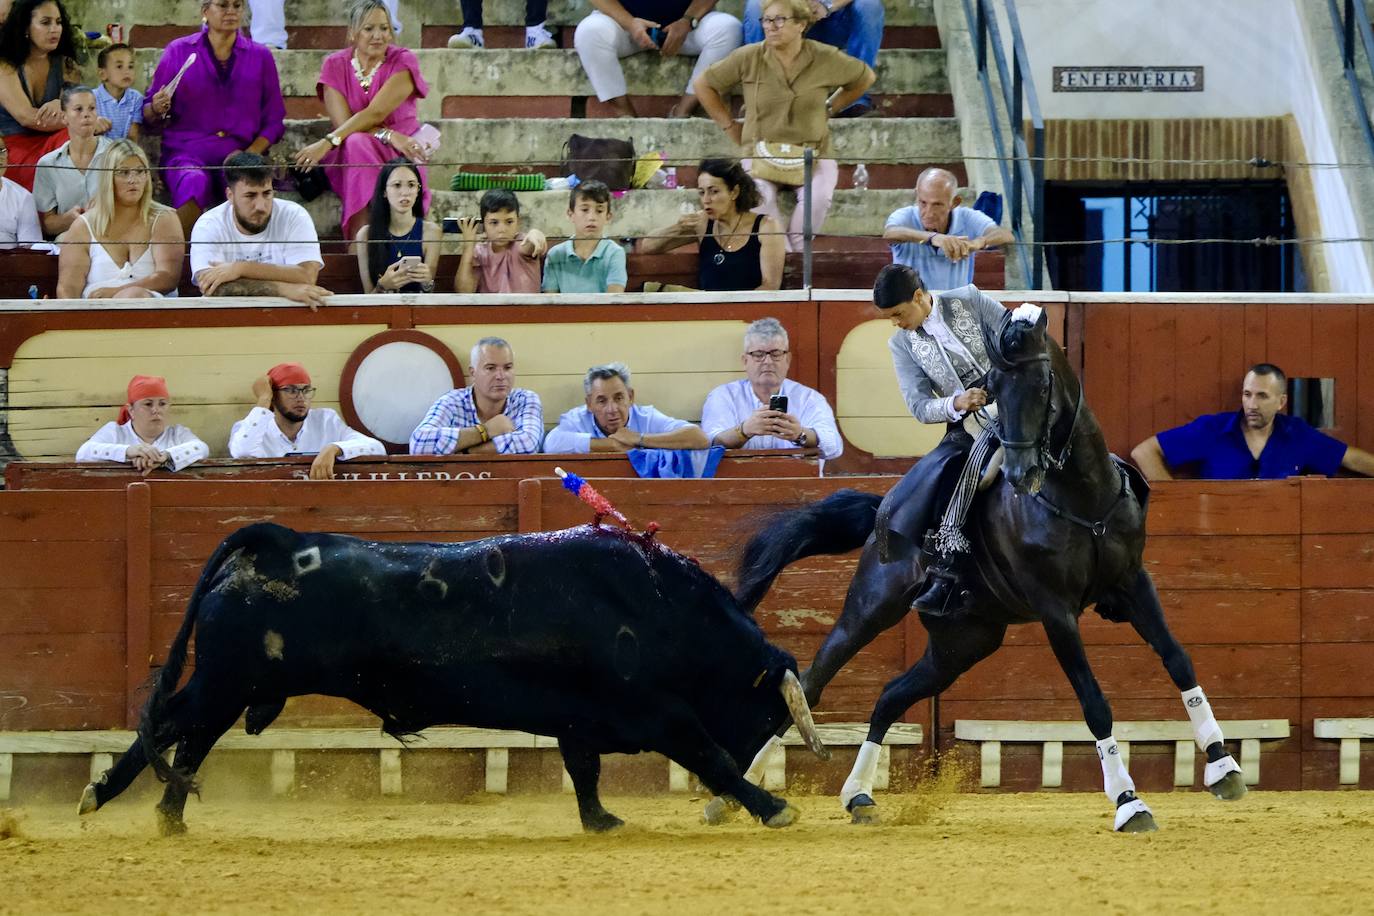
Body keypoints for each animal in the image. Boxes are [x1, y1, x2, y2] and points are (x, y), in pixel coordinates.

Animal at [83, 519, 824, 834]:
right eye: (768, 716)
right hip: (227, 680)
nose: (719, 809)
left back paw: (162, 813)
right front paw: (773, 807)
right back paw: (112, 798)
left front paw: (602, 821)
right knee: (175, 726)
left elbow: (583, 773)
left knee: (186, 734)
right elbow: (710, 755)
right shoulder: (661, 715)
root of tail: (276, 542)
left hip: (234, 685)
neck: (659, 607)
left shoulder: (578, 720)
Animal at [725, 307, 1253, 829]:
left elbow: (1178, 658)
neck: (1081, 497)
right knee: (812, 683)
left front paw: (1223, 765)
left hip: (963, 642)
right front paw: (1128, 801)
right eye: (994, 388)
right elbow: (1094, 701)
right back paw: (741, 794)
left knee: (891, 695)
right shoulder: (1055, 611)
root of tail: (882, 510)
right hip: (872, 607)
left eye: (1041, 385)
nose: (1021, 473)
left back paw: (858, 795)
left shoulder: (1133, 582)